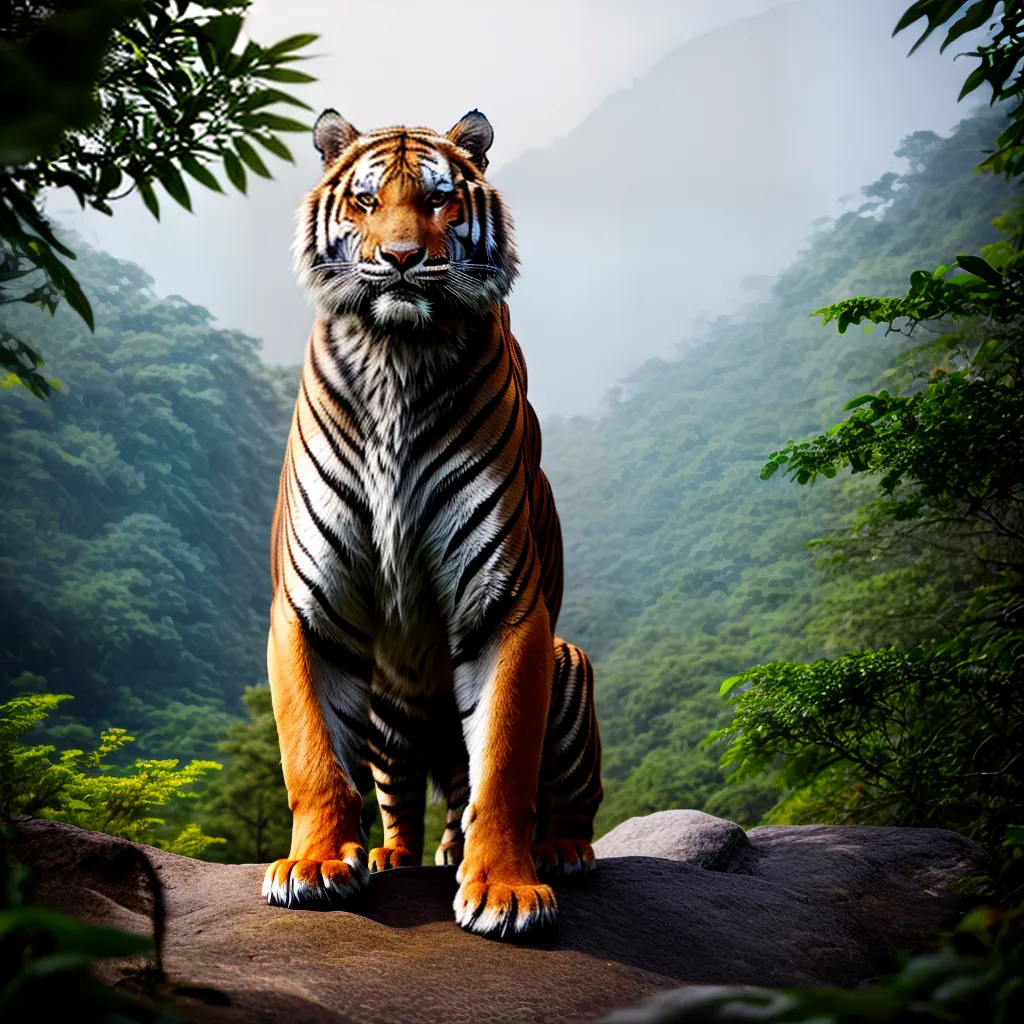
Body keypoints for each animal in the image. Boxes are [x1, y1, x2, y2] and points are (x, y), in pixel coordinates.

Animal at [263, 107, 603, 939]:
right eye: (365, 201)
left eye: (441, 199)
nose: (402, 258)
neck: (396, 353)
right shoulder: (310, 602)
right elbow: (313, 751)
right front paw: (315, 865)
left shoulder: (504, 600)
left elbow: (504, 762)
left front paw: (506, 889)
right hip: (390, 711)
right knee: (406, 797)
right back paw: (393, 856)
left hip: (570, 665)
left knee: (560, 795)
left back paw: (561, 850)